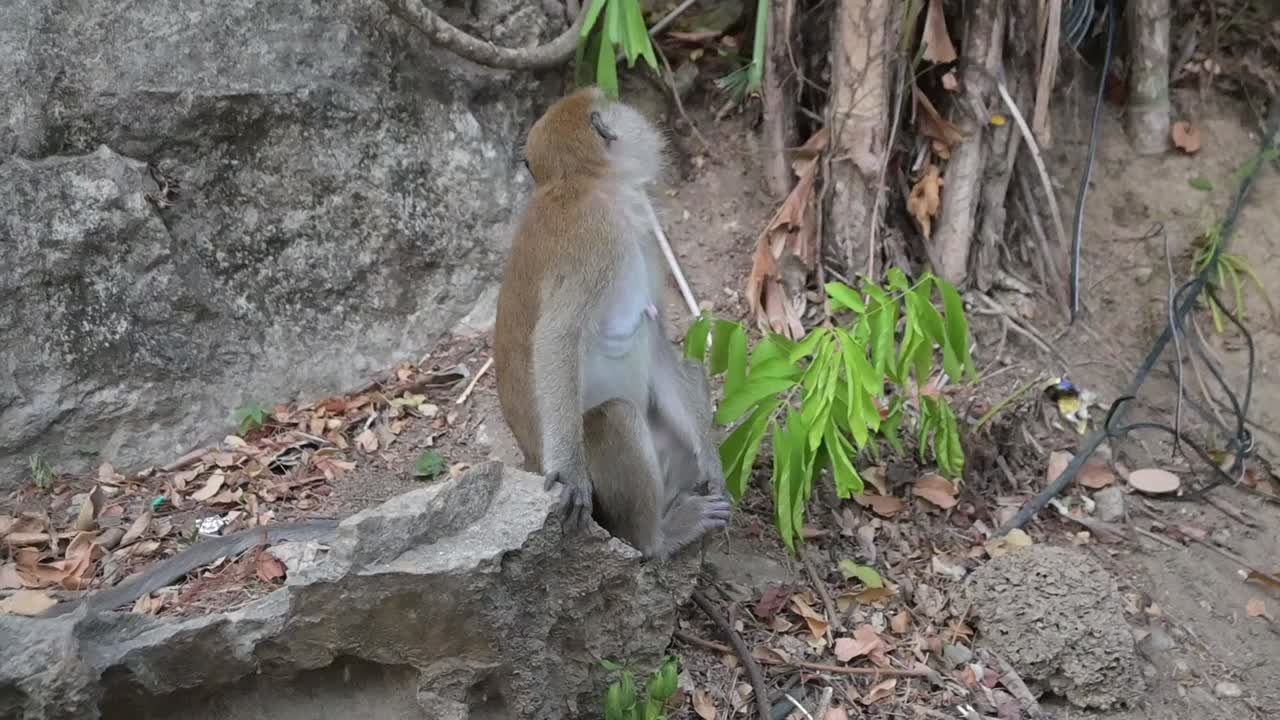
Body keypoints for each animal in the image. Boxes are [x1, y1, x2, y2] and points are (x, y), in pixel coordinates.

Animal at [493, 86, 728, 558]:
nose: (628, 106)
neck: (582, 182)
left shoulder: (642, 241)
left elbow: (656, 341)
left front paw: (710, 457)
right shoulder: (596, 237)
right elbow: (556, 336)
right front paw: (569, 474)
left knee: (686, 379)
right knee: (616, 416)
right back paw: (658, 538)